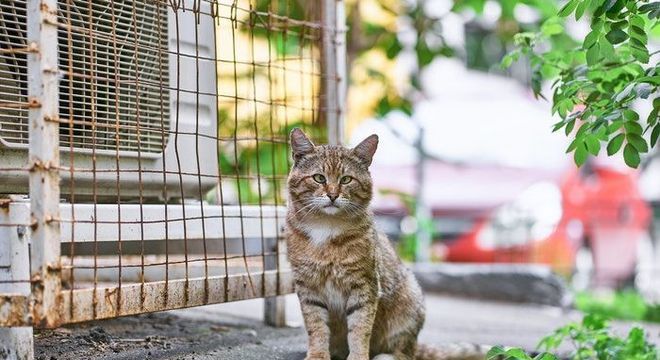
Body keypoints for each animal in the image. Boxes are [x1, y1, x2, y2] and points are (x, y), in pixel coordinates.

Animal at [284, 128, 484, 358]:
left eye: (346, 179)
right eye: (318, 178)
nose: (333, 195)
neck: (326, 227)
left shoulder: (365, 285)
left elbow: (359, 328)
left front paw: (358, 356)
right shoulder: (308, 287)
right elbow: (316, 326)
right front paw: (318, 354)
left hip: (410, 302)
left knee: (404, 353)